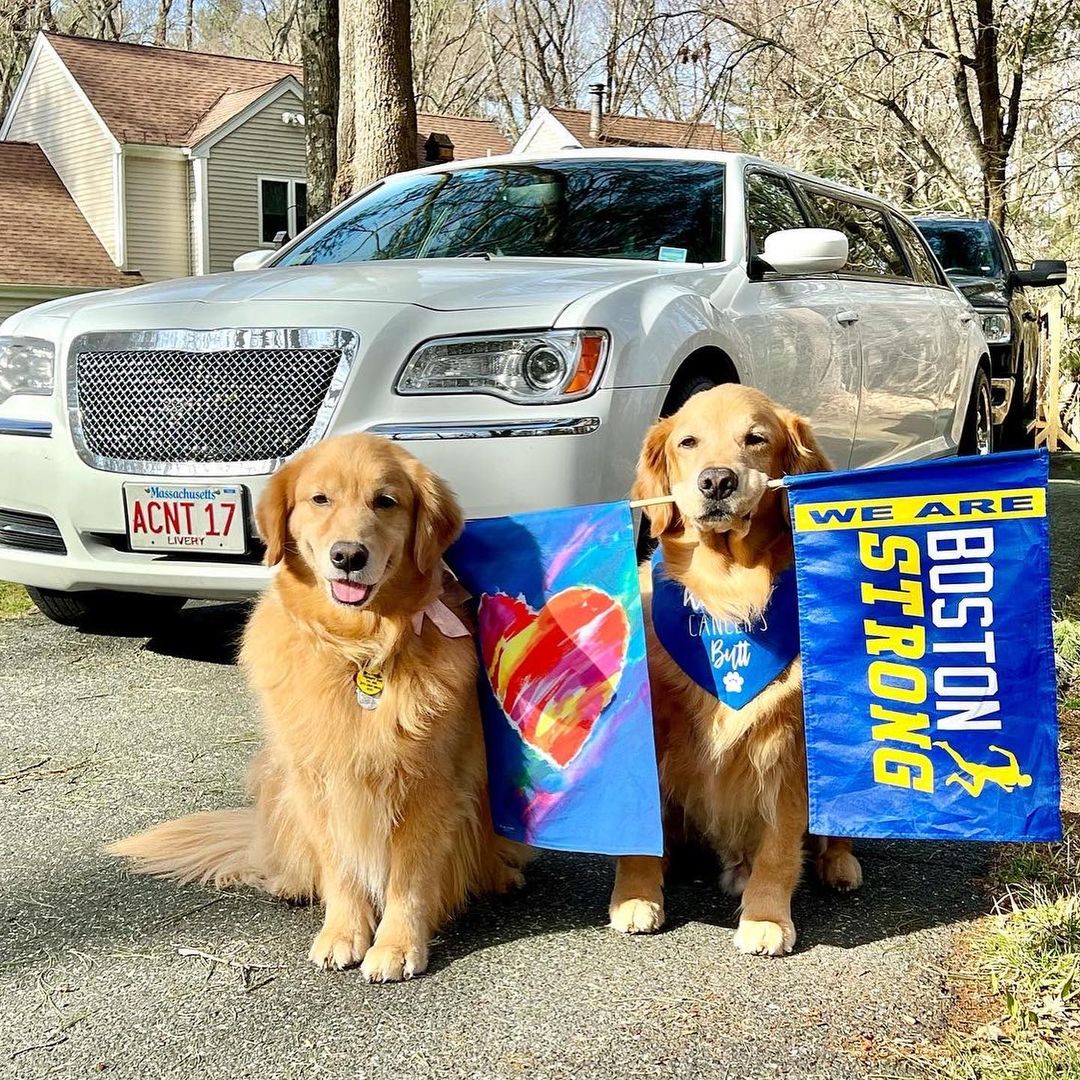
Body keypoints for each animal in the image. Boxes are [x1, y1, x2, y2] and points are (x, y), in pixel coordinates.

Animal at [111, 432, 524, 980]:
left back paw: (499, 872)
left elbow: (410, 876)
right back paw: (290, 883)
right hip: (275, 775)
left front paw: (397, 945)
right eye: (320, 499)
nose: (348, 555)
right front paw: (344, 933)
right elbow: (340, 865)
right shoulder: (319, 779)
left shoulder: (432, 782)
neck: (361, 649)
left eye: (386, 501)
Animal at [609, 386, 859, 954]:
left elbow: (781, 846)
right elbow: (639, 835)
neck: (728, 594)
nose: (717, 481)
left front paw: (766, 916)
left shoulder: (791, 747)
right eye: (688, 441)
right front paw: (635, 895)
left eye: (756, 439)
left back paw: (838, 864)